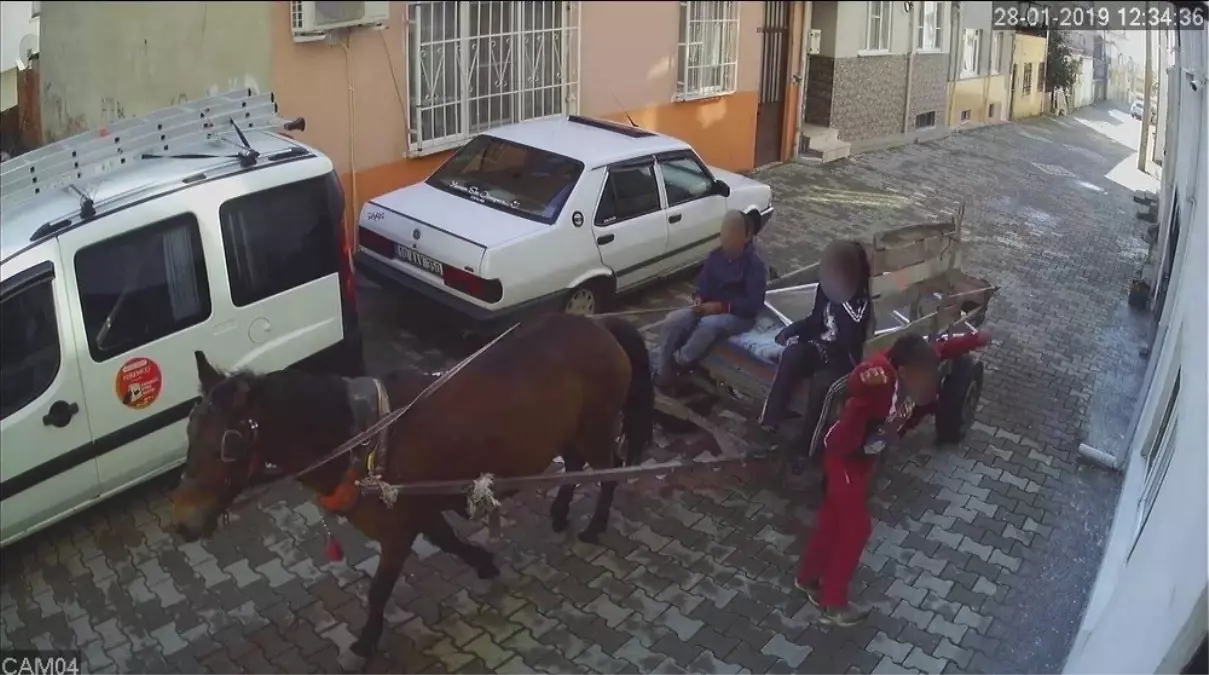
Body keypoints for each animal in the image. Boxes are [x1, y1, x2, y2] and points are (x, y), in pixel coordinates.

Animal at [168, 314, 652, 667]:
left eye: (228, 444)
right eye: (189, 433)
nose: (182, 523)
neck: (361, 437)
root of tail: (600, 324)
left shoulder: (398, 531)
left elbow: (380, 588)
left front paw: (366, 641)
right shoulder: (419, 509)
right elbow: (450, 540)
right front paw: (484, 563)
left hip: (596, 424)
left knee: (609, 470)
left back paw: (596, 523)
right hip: (570, 429)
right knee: (574, 464)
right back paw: (560, 512)